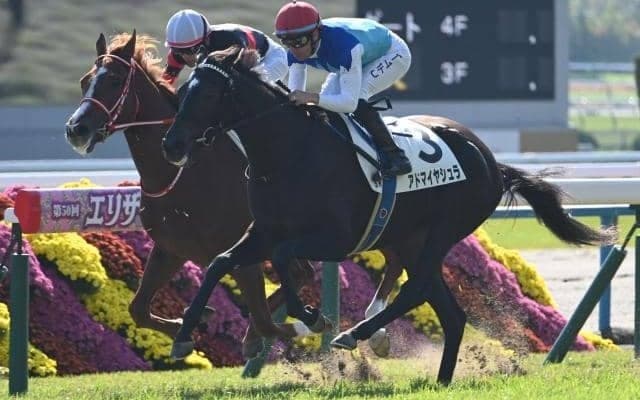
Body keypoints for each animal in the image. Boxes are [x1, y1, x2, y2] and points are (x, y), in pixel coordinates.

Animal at [64, 31, 402, 359]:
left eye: (114, 81)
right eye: (84, 80)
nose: (76, 129)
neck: (186, 174)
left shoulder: (245, 250)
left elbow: (264, 318)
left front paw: (302, 326)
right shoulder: (171, 248)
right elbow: (138, 309)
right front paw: (190, 325)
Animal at [161, 46, 615, 384]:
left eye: (208, 95)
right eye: (183, 92)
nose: (172, 144)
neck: (289, 152)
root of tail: (491, 162)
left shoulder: (337, 237)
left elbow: (285, 255)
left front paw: (310, 317)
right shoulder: (263, 230)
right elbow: (221, 262)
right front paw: (183, 336)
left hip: (441, 232)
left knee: (418, 290)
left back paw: (353, 335)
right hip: (411, 240)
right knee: (449, 312)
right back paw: (441, 379)